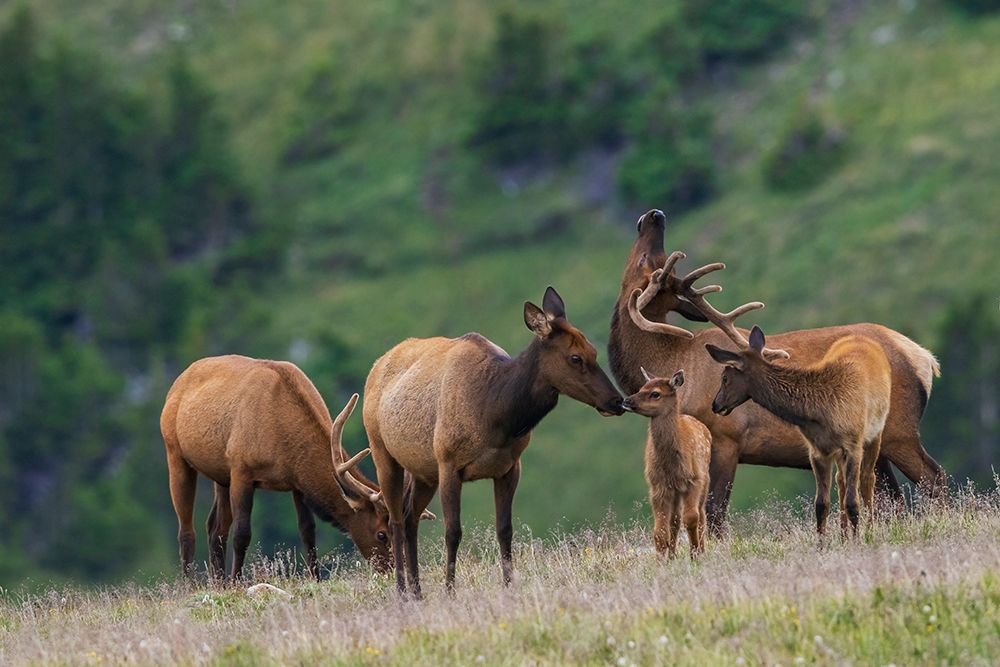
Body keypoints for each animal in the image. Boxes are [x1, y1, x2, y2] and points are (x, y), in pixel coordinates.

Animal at [160, 355, 431, 580]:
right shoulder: (241, 468)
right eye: (381, 534)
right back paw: (191, 586)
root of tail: (176, 383)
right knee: (187, 531)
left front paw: (316, 579)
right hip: (175, 451)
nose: (396, 569)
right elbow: (242, 533)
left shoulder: (296, 483)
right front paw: (236, 582)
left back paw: (217, 583)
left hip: (220, 475)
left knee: (215, 527)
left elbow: (307, 531)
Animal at [363, 287, 625, 598]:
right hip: (382, 451)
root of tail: (375, 366)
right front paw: (450, 591)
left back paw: (417, 592)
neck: (496, 418)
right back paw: (403, 592)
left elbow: (504, 529)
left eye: (594, 351)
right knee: (396, 521)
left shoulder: (510, 467)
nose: (617, 401)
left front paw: (509, 585)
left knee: (410, 515)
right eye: (575, 357)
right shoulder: (448, 462)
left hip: (423, 471)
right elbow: (453, 531)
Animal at [622, 368, 711, 558]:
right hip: (675, 491)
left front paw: (695, 555)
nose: (626, 400)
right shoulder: (657, 486)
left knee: (701, 515)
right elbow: (660, 530)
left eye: (655, 393)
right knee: (675, 521)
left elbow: (691, 518)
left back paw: (700, 550)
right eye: (641, 388)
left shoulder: (694, 479)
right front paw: (661, 561)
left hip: (705, 479)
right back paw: (672, 555)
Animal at [707, 326, 892, 537]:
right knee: (842, 481)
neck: (821, 412)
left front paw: (859, 540)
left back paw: (869, 529)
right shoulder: (817, 450)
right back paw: (844, 535)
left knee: (868, 479)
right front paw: (822, 542)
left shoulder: (853, 443)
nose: (715, 404)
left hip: (875, 433)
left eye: (725, 378)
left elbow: (853, 502)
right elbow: (821, 504)